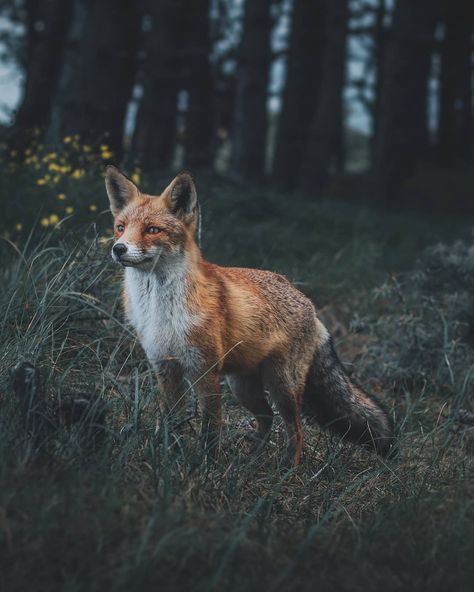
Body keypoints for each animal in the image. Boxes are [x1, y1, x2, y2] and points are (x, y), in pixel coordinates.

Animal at [104, 165, 396, 462]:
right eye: (121, 228)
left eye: (152, 229)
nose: (118, 248)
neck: (161, 311)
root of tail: (308, 303)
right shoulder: (165, 368)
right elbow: (172, 422)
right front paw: (170, 456)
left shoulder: (204, 371)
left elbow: (211, 428)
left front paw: (207, 465)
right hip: (243, 386)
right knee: (266, 417)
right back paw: (251, 459)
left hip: (282, 387)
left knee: (296, 430)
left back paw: (288, 467)